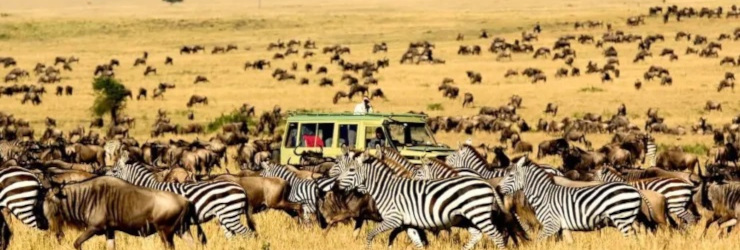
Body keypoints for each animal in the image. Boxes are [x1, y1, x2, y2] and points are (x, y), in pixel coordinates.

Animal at [107, 149, 258, 237]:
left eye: (114, 171)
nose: (105, 179)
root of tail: (241, 189)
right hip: (225, 217)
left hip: (230, 216)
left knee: (249, 234)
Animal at [336, 149, 508, 249]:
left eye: (351, 170)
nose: (336, 184)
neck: (387, 189)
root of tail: (486, 183)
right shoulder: (408, 223)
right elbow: (418, 242)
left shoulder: (394, 219)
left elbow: (370, 234)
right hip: (468, 218)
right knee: (477, 235)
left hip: (478, 215)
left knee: (497, 236)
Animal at [500, 157, 644, 241]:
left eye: (510, 175)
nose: (498, 188)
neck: (544, 195)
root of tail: (635, 190)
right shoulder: (562, 226)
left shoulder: (550, 224)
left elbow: (538, 241)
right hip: (628, 219)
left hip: (621, 219)